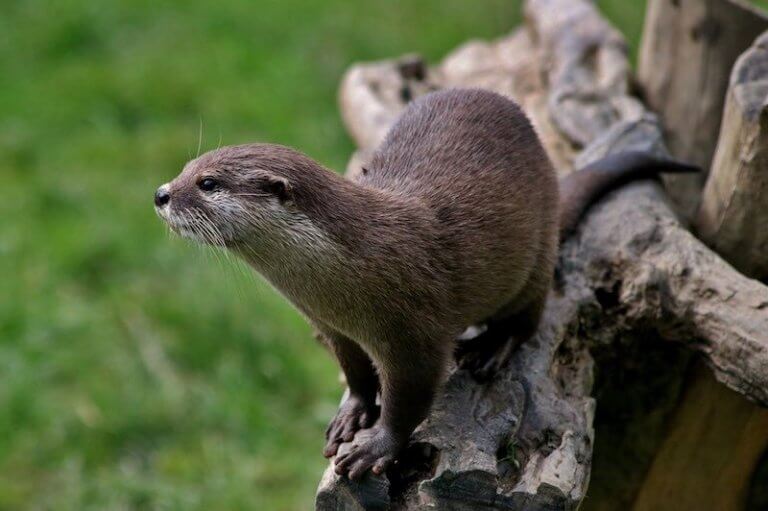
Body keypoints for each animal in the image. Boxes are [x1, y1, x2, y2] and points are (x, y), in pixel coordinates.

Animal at [153, 89, 700, 484]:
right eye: (185, 168)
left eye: (208, 183)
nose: (161, 194)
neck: (347, 274)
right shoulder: (332, 326)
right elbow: (356, 373)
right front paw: (353, 414)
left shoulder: (413, 332)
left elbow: (409, 398)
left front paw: (376, 447)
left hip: (536, 257)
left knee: (528, 318)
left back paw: (492, 348)